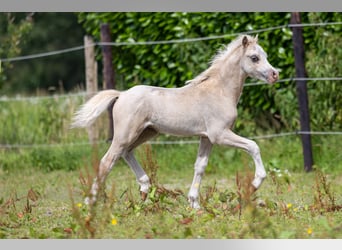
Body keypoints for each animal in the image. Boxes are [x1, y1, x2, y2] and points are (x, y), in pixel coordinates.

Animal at [71, 34, 278, 209]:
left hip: (147, 132)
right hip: (126, 133)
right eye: (254, 58)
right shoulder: (219, 134)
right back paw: (90, 202)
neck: (219, 91)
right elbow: (253, 146)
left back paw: (144, 187)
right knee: (108, 160)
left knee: (126, 153)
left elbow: (200, 166)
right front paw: (255, 183)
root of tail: (121, 94)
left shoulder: (207, 137)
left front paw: (194, 204)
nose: (274, 74)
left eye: (266, 56)